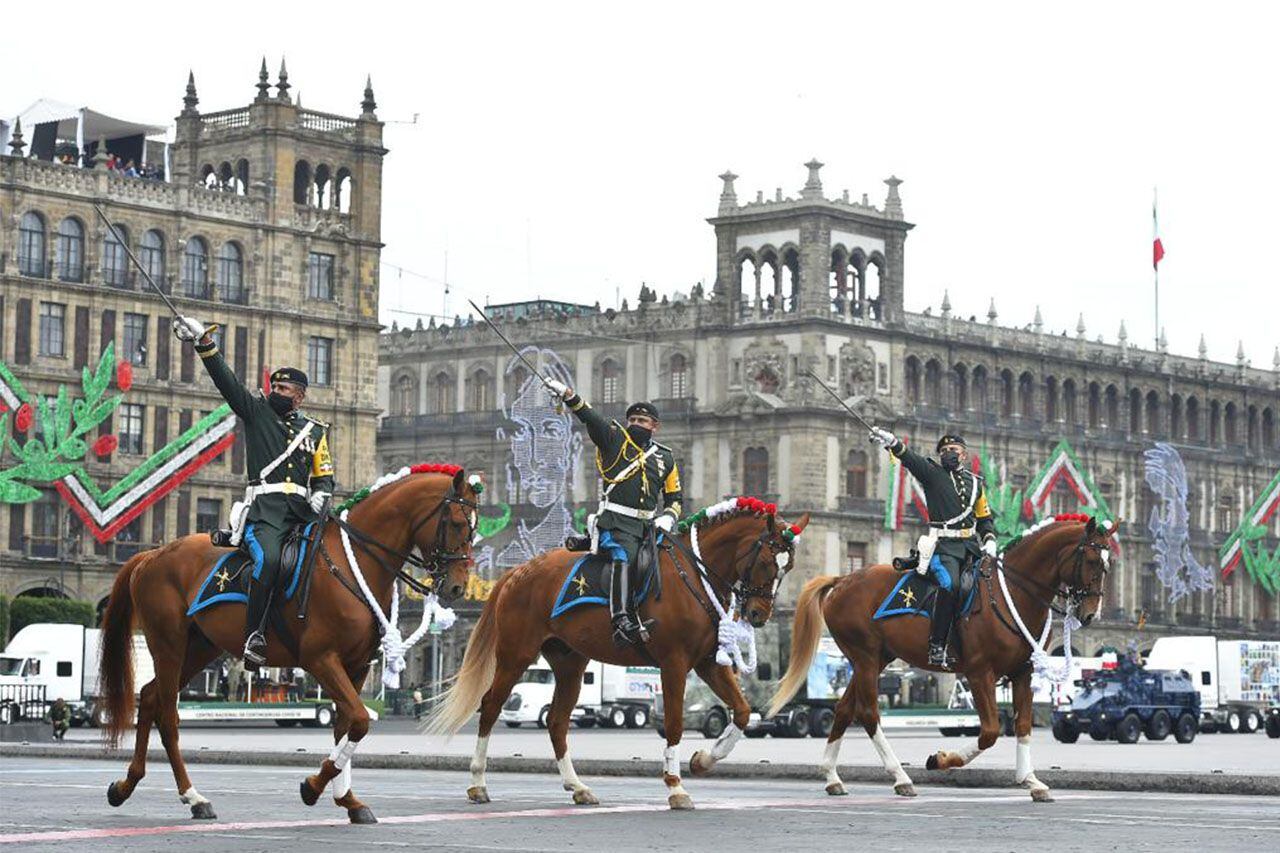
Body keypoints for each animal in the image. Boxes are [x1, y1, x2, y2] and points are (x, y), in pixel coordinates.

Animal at [98, 461, 481, 819]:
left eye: (475, 529)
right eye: (458, 523)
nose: (457, 587)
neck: (352, 560)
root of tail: (152, 554)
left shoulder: (356, 666)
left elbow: (346, 725)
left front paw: (348, 799)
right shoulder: (320, 659)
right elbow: (358, 720)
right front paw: (313, 787)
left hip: (200, 647)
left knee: (149, 699)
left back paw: (126, 785)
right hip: (169, 644)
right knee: (167, 715)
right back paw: (193, 796)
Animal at [430, 502, 808, 809]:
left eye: (788, 567)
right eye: (765, 562)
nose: (759, 614)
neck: (694, 575)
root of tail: (516, 572)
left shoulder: (706, 662)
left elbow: (742, 711)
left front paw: (703, 759)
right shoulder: (674, 663)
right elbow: (674, 722)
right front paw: (676, 787)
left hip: (569, 664)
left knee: (557, 721)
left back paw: (577, 787)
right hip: (515, 655)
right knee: (491, 706)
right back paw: (478, 783)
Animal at [762, 514, 1116, 799]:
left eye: (1108, 566)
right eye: (1092, 561)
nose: (1090, 614)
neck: (1011, 594)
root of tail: (843, 579)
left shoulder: (1022, 673)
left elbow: (1024, 725)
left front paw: (1030, 780)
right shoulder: (979, 673)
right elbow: (989, 731)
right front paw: (942, 760)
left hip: (875, 659)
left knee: (844, 709)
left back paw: (832, 777)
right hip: (864, 656)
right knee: (868, 713)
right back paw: (900, 777)